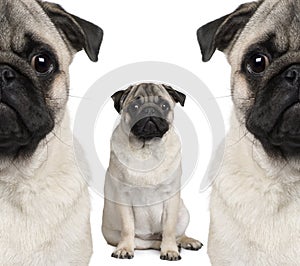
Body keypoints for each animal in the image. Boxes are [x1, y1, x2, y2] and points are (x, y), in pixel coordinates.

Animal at [102, 82, 203, 260]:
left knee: (175, 234)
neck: (146, 149)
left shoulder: (171, 198)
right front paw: (124, 248)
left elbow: (169, 229)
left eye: (164, 106)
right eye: (134, 106)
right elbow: (128, 227)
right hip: (114, 234)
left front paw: (169, 250)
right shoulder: (123, 197)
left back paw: (185, 242)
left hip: (183, 212)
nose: (149, 110)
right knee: (145, 242)